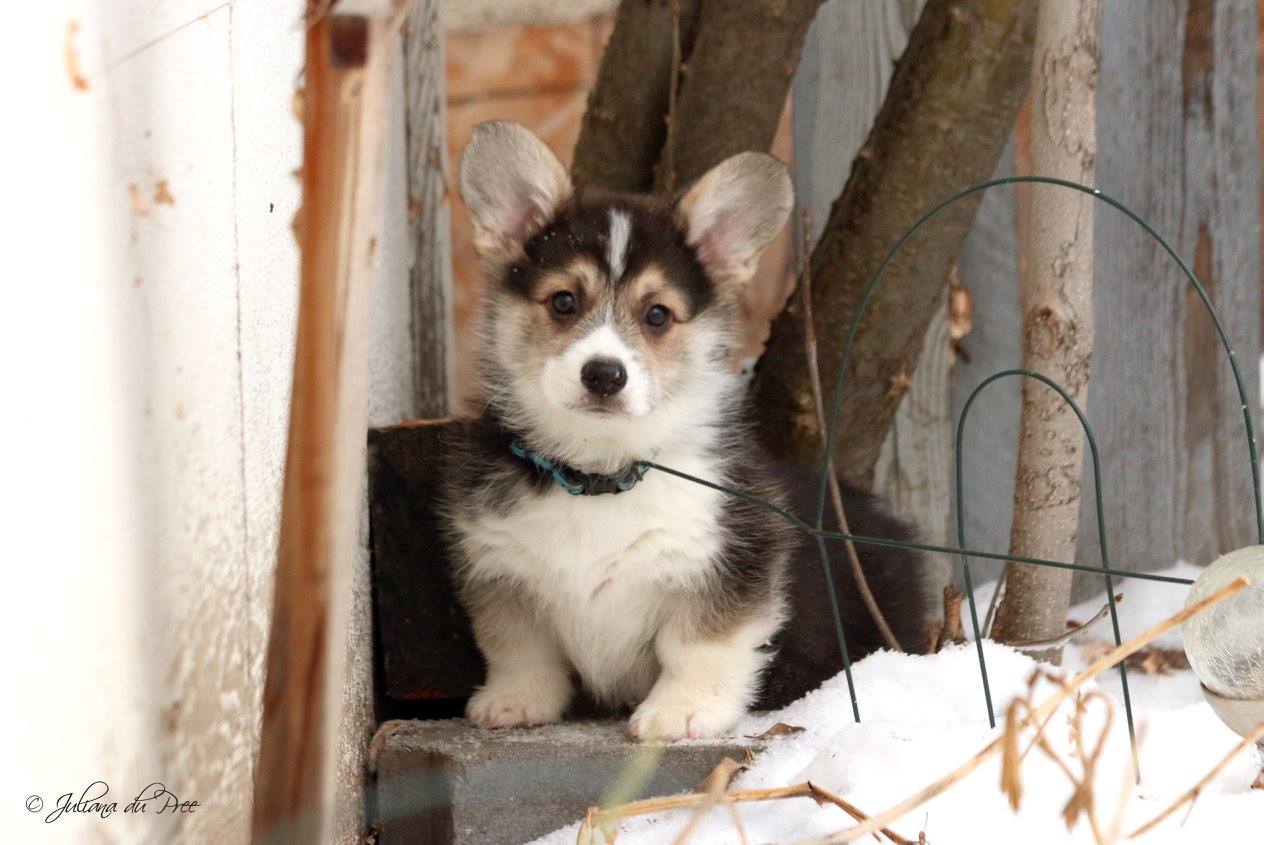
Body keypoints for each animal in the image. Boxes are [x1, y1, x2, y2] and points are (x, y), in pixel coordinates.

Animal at [444, 119, 940, 737]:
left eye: (657, 314)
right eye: (562, 301)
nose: (603, 374)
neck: (601, 475)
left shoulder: (730, 565)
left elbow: (699, 646)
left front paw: (681, 713)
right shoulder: (501, 570)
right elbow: (520, 647)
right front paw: (514, 702)